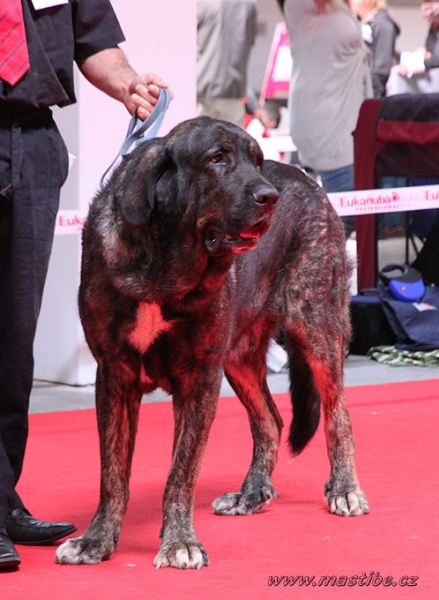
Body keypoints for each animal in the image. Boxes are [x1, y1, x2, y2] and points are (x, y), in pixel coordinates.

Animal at [55, 116, 372, 568]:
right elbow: (112, 472)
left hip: (316, 327)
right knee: (270, 421)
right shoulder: (115, 375)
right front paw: (97, 539)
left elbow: (181, 472)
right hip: (238, 356)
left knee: (337, 414)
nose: (269, 197)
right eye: (216, 159)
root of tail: (307, 180)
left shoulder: (199, 378)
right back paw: (251, 494)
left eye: (257, 160)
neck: (163, 267)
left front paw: (179, 541)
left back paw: (345, 488)